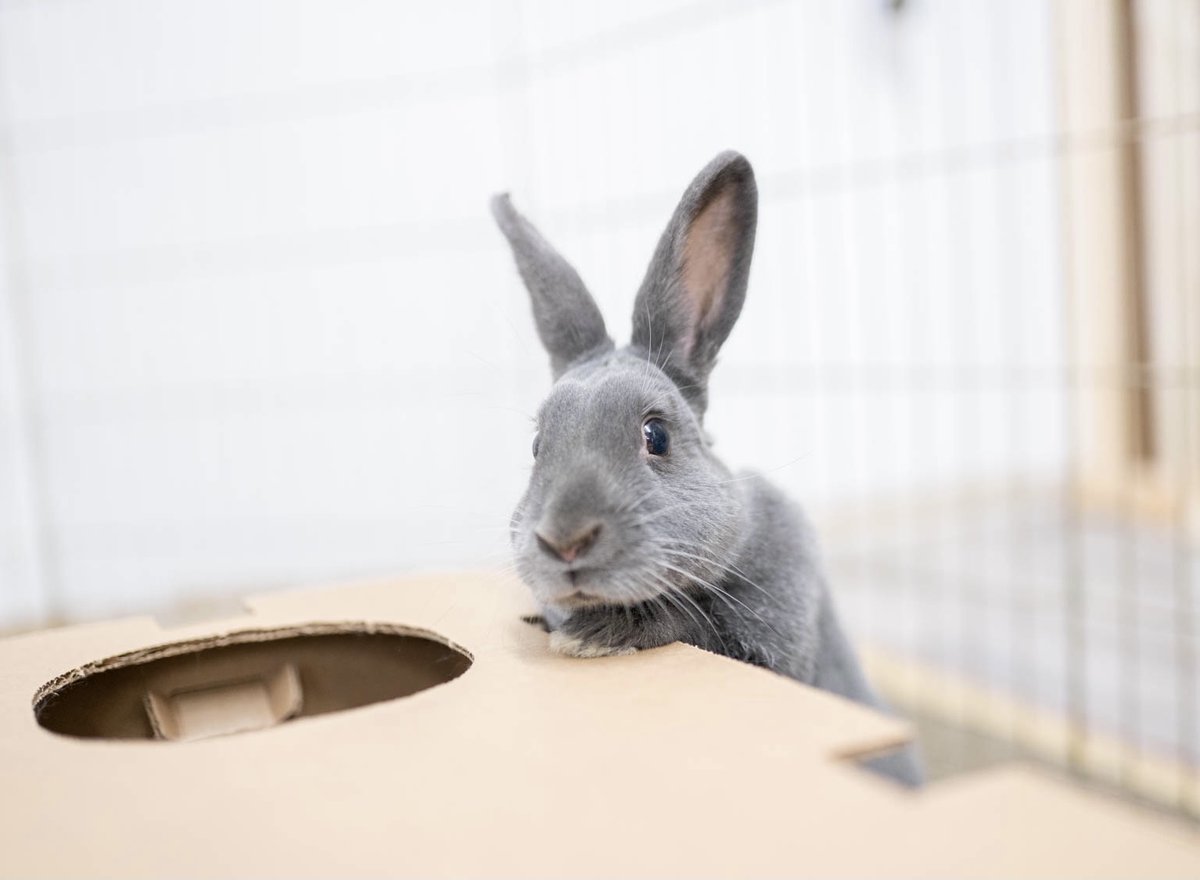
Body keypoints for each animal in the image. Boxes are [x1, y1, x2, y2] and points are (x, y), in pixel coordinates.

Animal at [492, 149, 921, 782]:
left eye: (657, 436)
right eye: (537, 445)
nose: (564, 542)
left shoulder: (771, 637)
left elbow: (700, 630)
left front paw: (592, 637)